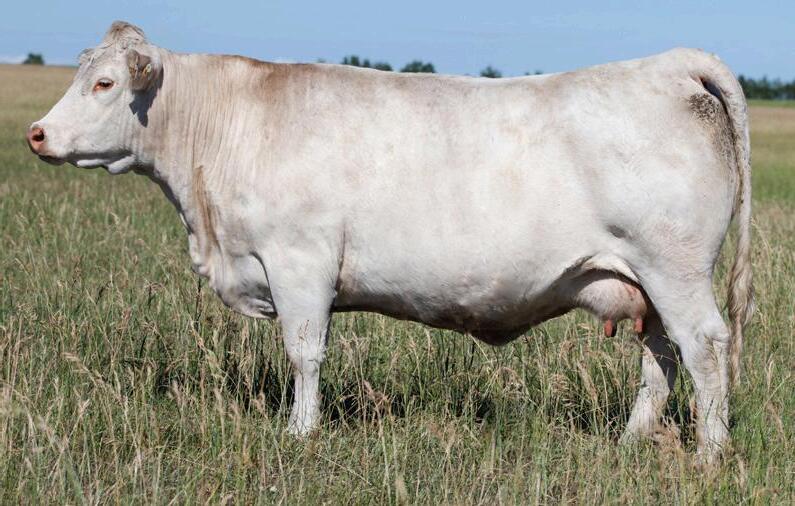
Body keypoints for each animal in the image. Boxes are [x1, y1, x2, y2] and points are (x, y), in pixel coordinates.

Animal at [27, 21, 752, 463]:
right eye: (81, 75)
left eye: (104, 83)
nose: (37, 133)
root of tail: (668, 66)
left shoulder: (299, 262)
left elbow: (304, 355)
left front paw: (300, 432)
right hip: (645, 280)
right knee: (661, 356)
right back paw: (632, 440)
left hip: (675, 268)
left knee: (705, 348)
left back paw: (710, 452)